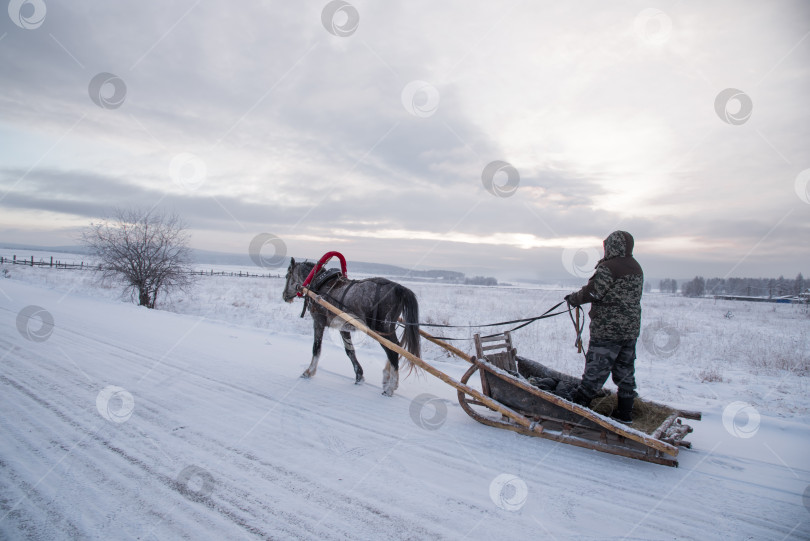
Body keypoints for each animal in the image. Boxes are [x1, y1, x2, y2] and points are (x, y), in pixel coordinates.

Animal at [280, 258, 420, 396]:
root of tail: (399, 288)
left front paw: (308, 372)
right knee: (396, 347)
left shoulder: (318, 321)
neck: (319, 285)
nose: (284, 296)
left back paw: (391, 387)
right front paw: (359, 376)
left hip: (381, 328)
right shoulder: (343, 328)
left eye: (287, 276)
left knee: (393, 351)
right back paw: (387, 377)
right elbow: (350, 351)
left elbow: (316, 348)